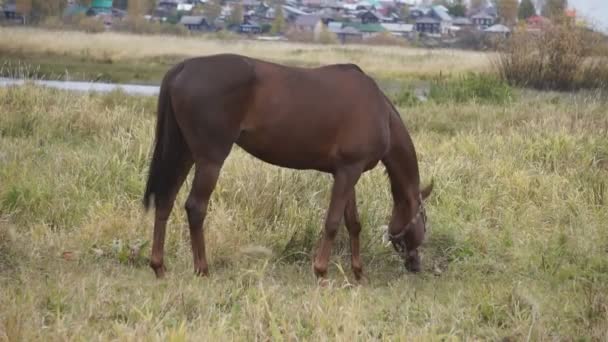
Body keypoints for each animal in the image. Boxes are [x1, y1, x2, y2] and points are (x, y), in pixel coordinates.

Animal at [144, 53, 432, 280]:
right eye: (425, 220)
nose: (415, 265)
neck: (380, 111)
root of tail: (184, 67)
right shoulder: (349, 171)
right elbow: (333, 222)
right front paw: (321, 271)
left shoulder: (347, 172)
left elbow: (353, 223)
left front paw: (358, 272)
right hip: (209, 160)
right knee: (195, 208)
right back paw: (202, 269)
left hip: (183, 152)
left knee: (165, 200)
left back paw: (159, 267)